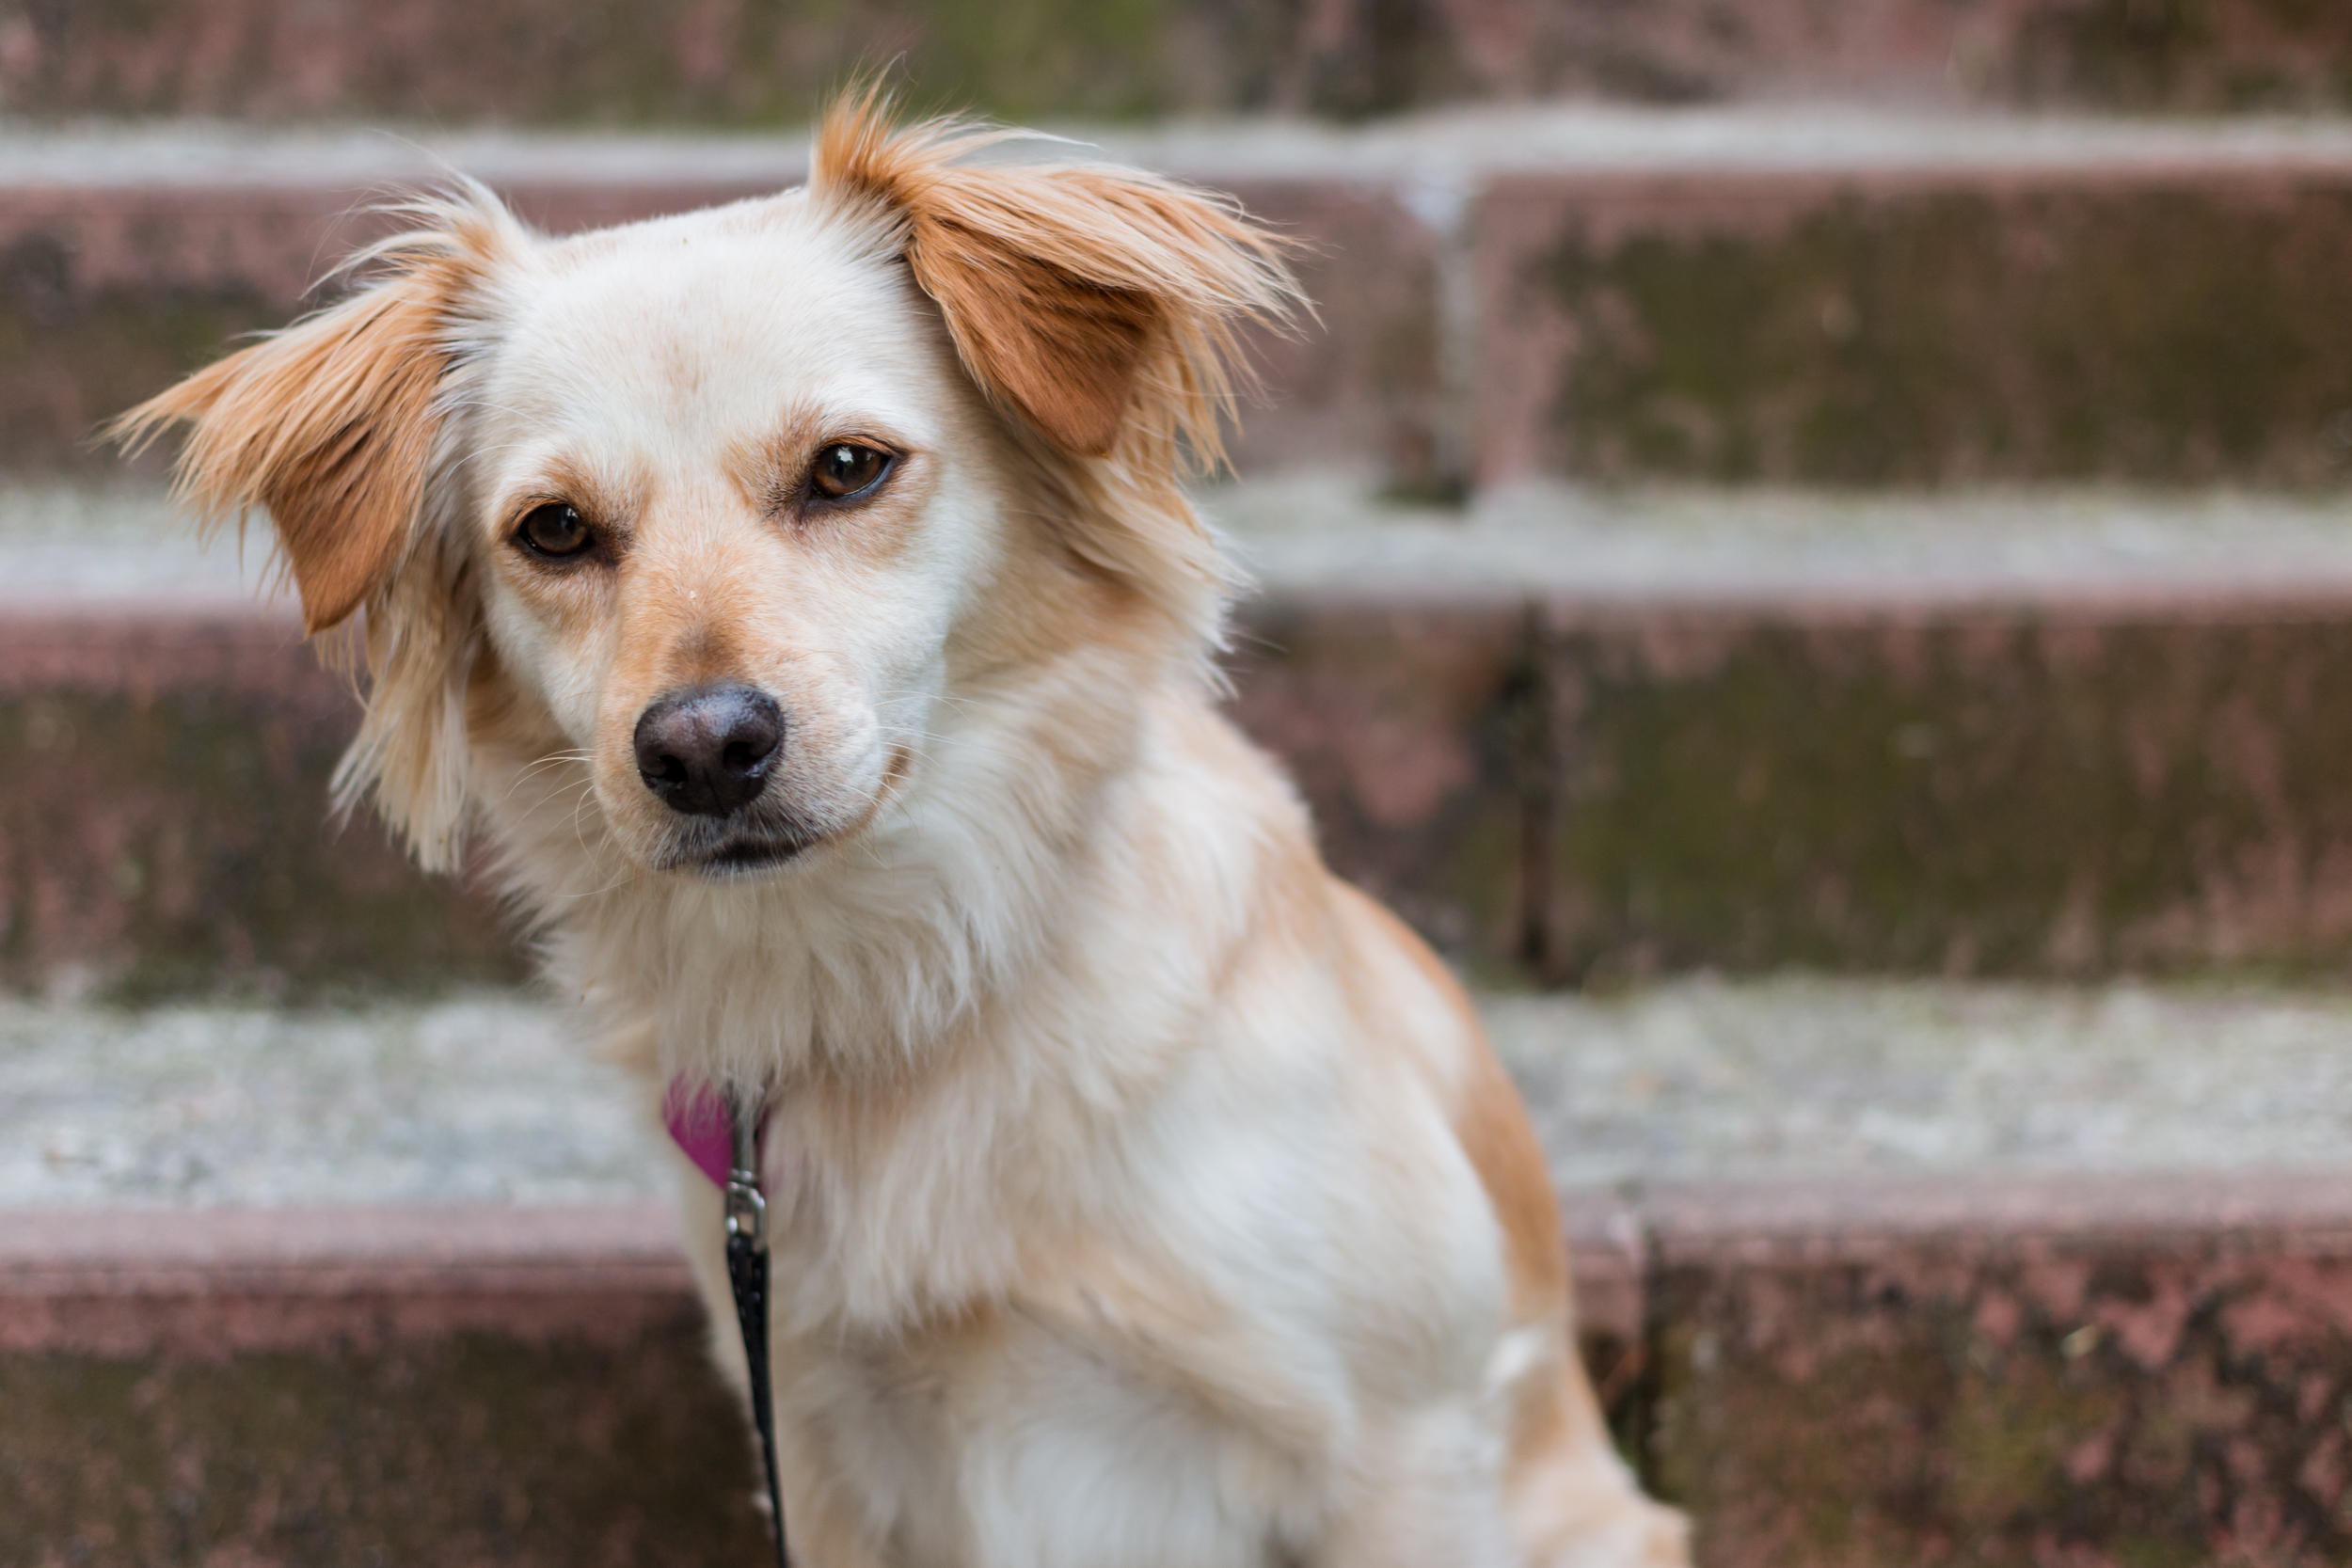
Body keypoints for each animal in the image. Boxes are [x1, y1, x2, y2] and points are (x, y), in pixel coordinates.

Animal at [119, 95, 1693, 1568]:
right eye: (554, 531)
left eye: (847, 467)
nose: (702, 748)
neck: (910, 975)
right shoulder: (828, 1443)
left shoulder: (1399, 1440)